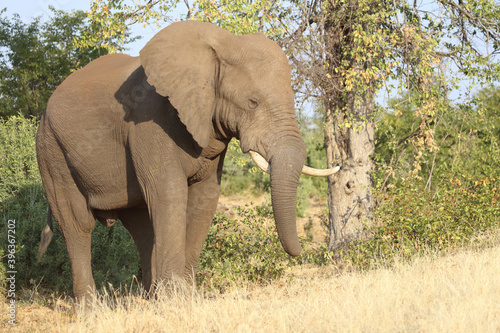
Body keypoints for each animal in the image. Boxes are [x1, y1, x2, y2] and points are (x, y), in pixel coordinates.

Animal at [37, 21, 338, 300]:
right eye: (252, 102)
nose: (304, 252)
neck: (221, 48)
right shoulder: (148, 122)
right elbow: (170, 194)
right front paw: (175, 301)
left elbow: (205, 197)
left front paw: (185, 297)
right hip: (52, 152)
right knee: (78, 225)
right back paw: (91, 310)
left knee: (140, 226)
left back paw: (150, 299)